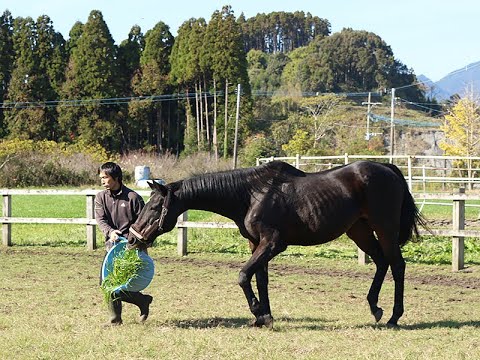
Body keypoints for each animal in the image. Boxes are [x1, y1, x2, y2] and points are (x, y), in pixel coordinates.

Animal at [126, 160, 424, 330]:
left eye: (154, 207)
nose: (131, 237)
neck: (250, 194)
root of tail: (389, 169)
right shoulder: (256, 244)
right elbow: (260, 279)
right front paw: (264, 316)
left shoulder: (273, 243)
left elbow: (243, 275)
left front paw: (259, 312)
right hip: (359, 230)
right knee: (382, 262)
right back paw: (375, 308)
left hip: (384, 228)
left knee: (397, 265)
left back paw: (394, 316)